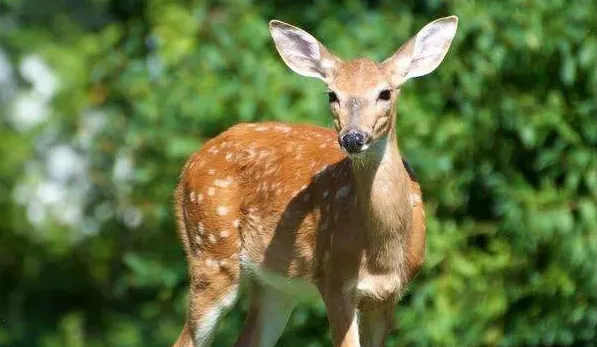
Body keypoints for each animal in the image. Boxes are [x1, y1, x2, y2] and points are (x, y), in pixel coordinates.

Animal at [171, 14, 456, 346]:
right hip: (211, 253)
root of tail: (188, 165)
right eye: (332, 94)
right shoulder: (334, 279)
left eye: (385, 93)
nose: (353, 137)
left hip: (275, 285)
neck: (381, 255)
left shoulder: (388, 296)